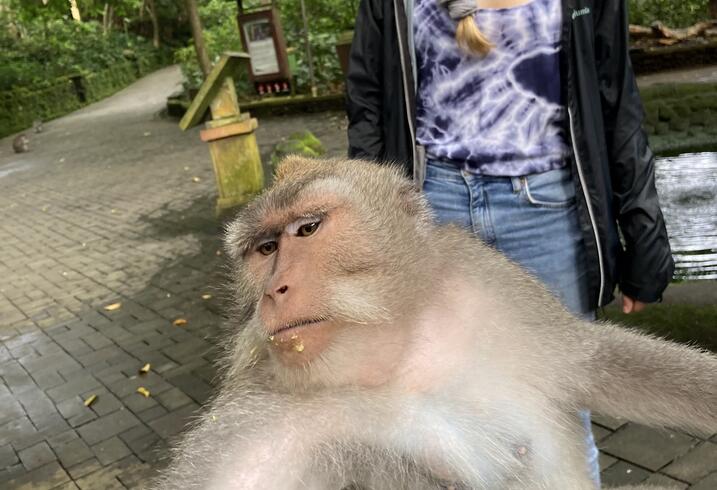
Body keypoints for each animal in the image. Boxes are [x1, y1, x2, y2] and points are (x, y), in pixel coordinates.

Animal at [154, 157, 712, 490]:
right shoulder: (254, 418)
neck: (399, 357)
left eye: (307, 229)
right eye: (265, 249)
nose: (274, 291)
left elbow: (597, 360)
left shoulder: (493, 288)